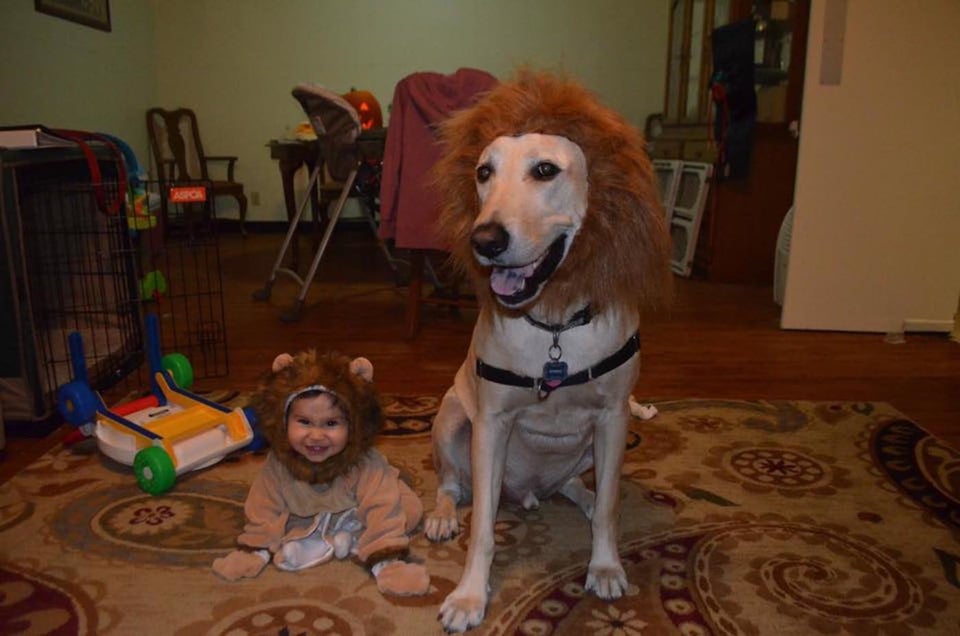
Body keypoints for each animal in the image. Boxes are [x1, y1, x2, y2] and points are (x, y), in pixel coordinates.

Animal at [428, 71, 676, 632]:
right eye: (483, 172)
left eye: (545, 170)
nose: (484, 240)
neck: (554, 323)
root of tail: (527, 492)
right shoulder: (491, 424)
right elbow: (482, 530)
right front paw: (469, 596)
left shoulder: (613, 417)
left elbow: (609, 507)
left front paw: (605, 565)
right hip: (451, 419)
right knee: (454, 484)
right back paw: (441, 515)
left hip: (593, 445)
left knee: (582, 489)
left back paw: (580, 495)